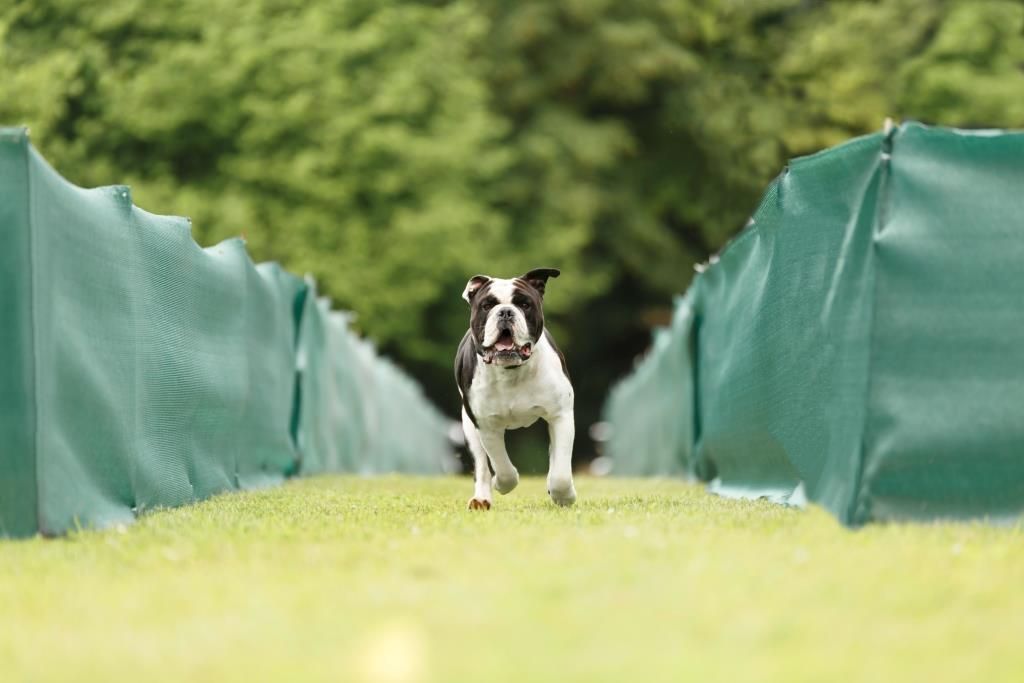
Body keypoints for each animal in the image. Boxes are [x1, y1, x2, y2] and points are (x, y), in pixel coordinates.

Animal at [456, 266, 577, 507]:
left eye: (524, 304)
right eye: (487, 305)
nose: (505, 312)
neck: (511, 371)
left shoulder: (561, 416)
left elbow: (560, 473)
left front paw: (563, 496)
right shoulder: (486, 426)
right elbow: (502, 468)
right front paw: (501, 484)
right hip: (469, 427)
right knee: (482, 465)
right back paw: (481, 498)